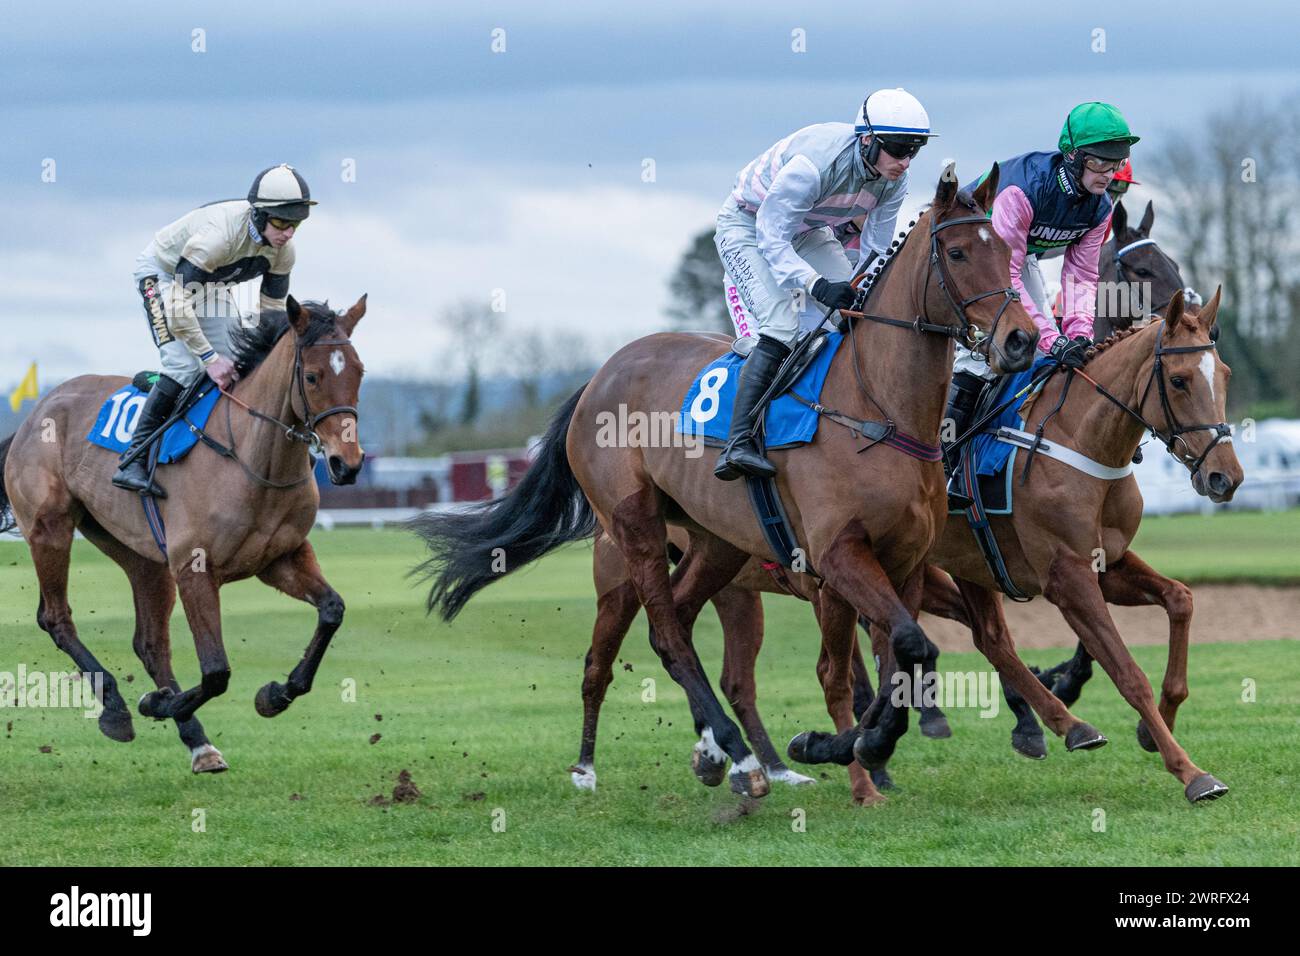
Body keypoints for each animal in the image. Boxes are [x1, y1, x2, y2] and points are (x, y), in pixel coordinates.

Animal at [1, 295, 366, 775]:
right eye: (312, 376)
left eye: (358, 371)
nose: (348, 464)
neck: (253, 459)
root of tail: (35, 414)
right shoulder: (195, 569)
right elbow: (216, 671)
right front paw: (155, 704)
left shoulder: (280, 559)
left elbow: (332, 610)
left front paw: (276, 694)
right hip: (50, 528)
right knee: (56, 618)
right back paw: (117, 708)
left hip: (141, 555)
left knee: (151, 643)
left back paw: (198, 742)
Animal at [410, 166, 1040, 806]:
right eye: (958, 252)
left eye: (1008, 248)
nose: (1021, 340)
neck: (878, 410)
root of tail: (598, 377)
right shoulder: (837, 558)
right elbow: (894, 655)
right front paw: (843, 748)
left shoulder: (905, 562)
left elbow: (903, 661)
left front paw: (858, 746)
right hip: (632, 534)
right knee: (654, 641)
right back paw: (705, 759)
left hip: (718, 544)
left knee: (682, 628)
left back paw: (721, 754)